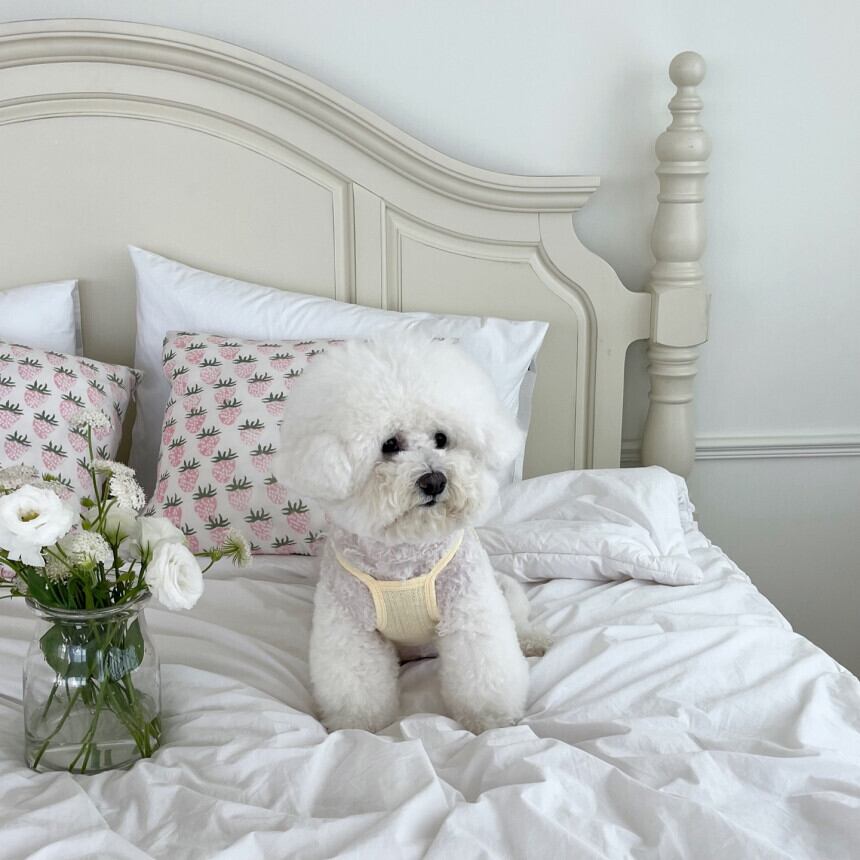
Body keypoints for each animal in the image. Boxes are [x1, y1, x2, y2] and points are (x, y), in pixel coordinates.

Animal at [274, 337, 549, 733]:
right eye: (390, 444)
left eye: (441, 438)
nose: (434, 480)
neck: (403, 555)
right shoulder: (349, 624)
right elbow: (355, 680)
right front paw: (356, 726)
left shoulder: (471, 609)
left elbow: (484, 671)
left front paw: (492, 720)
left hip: (503, 588)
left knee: (518, 618)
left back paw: (532, 640)